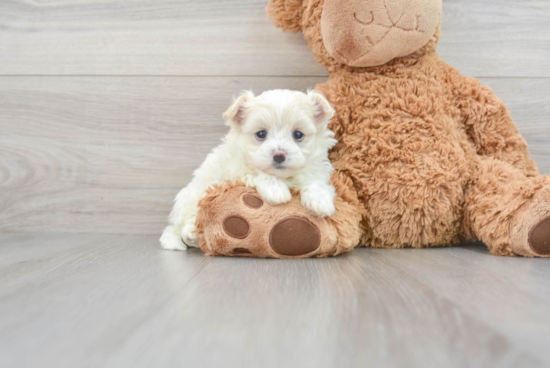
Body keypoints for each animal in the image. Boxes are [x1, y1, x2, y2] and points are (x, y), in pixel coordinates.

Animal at [161, 89, 340, 250]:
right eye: (261, 134)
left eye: (298, 134)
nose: (279, 155)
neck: (284, 177)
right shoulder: (235, 170)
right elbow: (256, 172)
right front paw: (276, 190)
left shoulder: (315, 169)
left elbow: (314, 181)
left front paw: (320, 200)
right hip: (191, 198)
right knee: (187, 222)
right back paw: (191, 232)